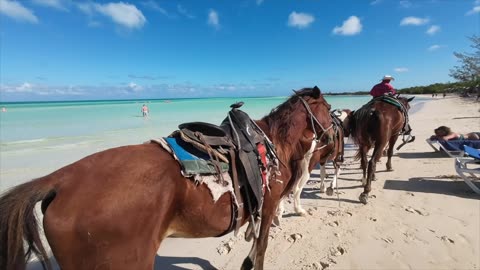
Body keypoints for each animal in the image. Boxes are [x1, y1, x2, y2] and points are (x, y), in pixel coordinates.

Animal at [0, 86, 332, 270]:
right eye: (329, 108)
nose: (332, 134)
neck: (272, 143)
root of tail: (60, 179)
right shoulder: (269, 203)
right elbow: (261, 248)